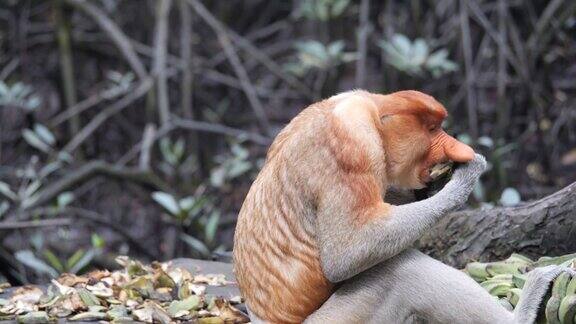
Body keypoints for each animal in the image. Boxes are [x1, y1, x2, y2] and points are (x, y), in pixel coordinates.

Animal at [233, 90, 572, 322]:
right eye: (432, 129)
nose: (454, 147)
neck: (371, 111)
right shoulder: (354, 147)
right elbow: (345, 253)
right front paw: (462, 179)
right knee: (403, 271)